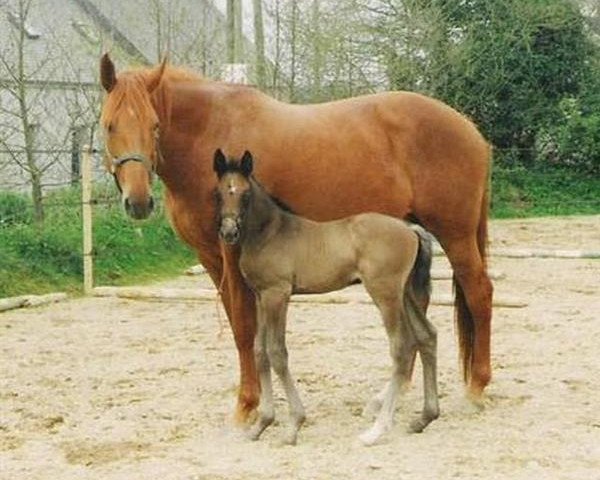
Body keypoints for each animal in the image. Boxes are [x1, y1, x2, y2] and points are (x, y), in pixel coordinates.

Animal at [98, 54, 492, 424]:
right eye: (109, 125)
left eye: (154, 125)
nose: (138, 201)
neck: (209, 132)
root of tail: (470, 130)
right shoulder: (211, 258)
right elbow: (242, 327)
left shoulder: (232, 253)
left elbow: (245, 328)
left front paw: (248, 405)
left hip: (455, 235)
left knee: (478, 293)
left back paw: (476, 388)